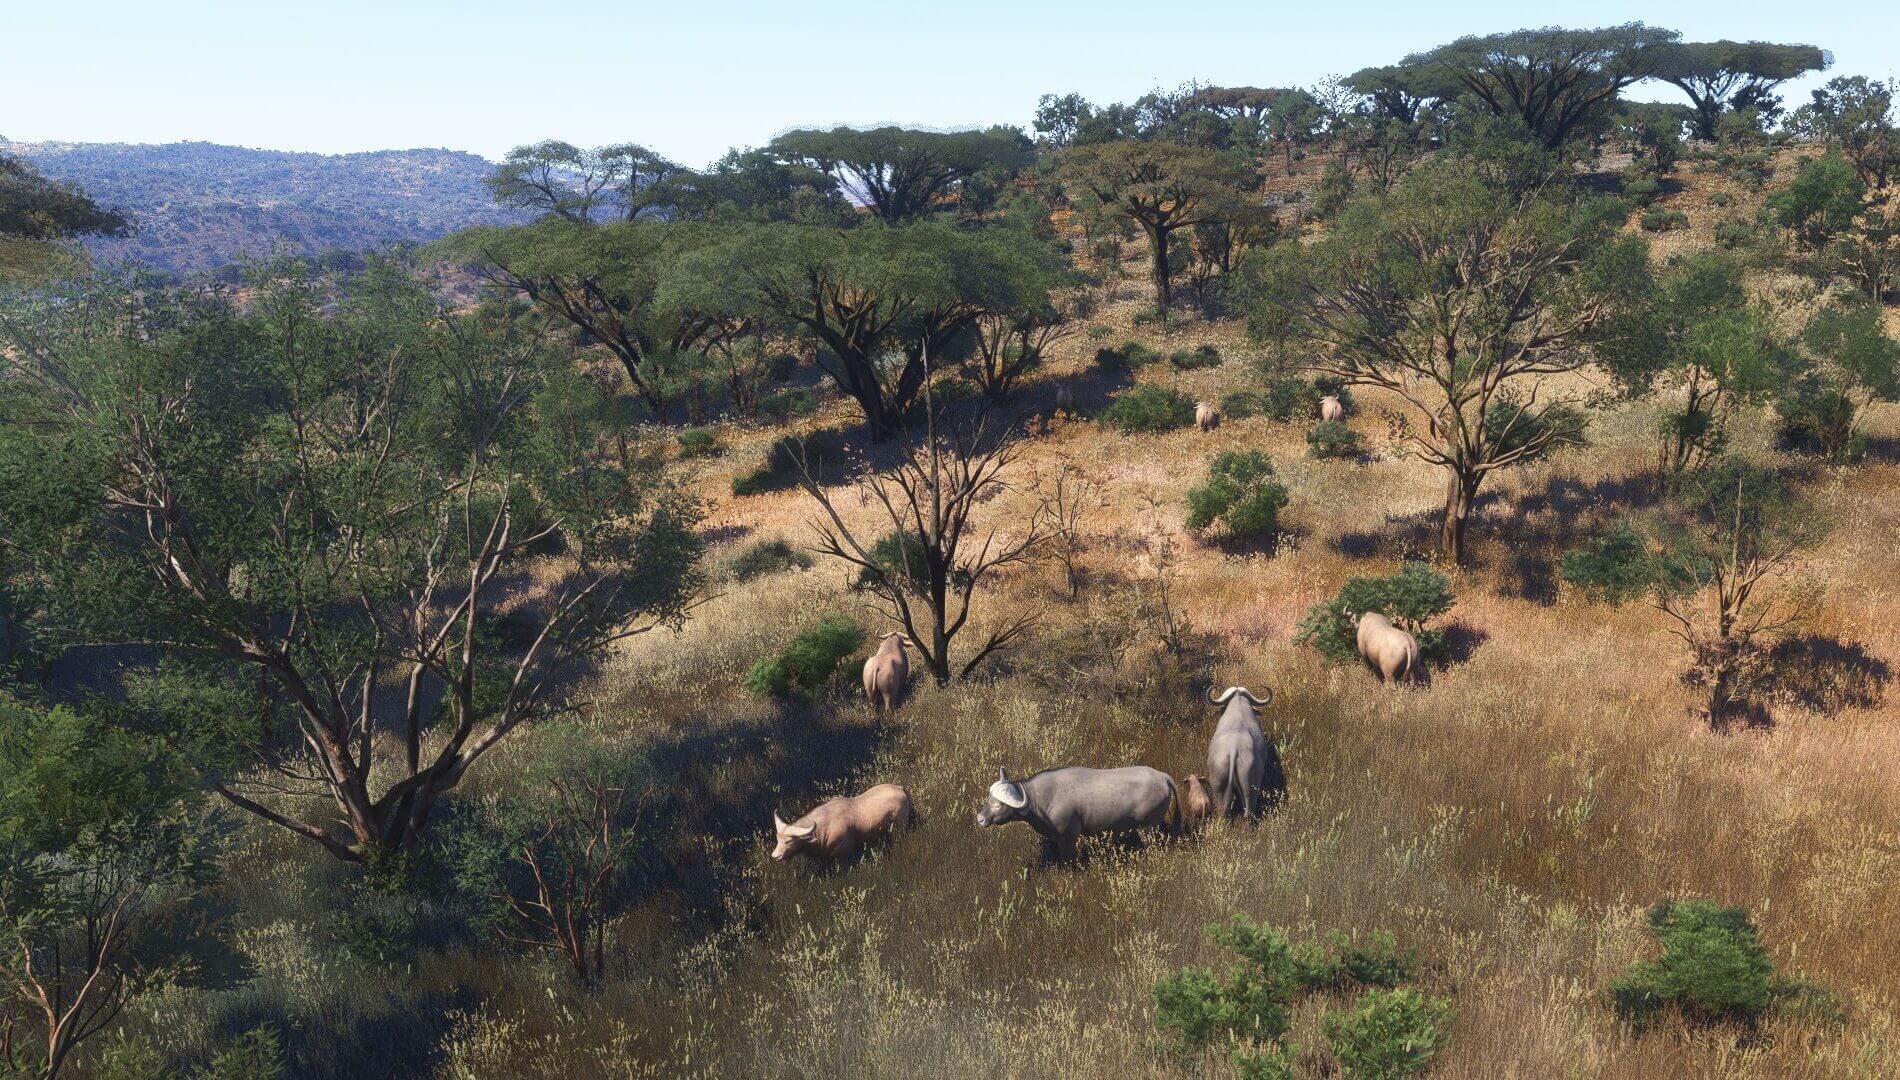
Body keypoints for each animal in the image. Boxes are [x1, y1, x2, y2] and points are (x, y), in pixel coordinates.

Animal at [775, 779, 915, 863]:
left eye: (789, 841)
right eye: (778, 840)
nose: (775, 856)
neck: (825, 825)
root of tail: (900, 788)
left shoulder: (843, 853)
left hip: (899, 827)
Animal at [980, 764, 1170, 863]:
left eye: (999, 804)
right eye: (989, 798)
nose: (980, 818)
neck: (1042, 798)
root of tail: (1163, 777)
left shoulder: (1068, 838)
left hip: (1149, 828)